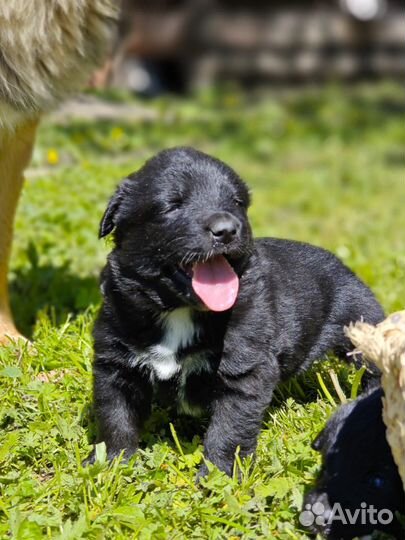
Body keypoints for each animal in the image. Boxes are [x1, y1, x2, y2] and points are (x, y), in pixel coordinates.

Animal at [90, 146, 382, 474]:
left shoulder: (245, 369)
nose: (227, 230)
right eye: (172, 205)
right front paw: (110, 463)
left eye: (236, 202)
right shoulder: (115, 362)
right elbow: (116, 416)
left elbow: (229, 428)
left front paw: (219, 474)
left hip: (360, 320)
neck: (179, 311)